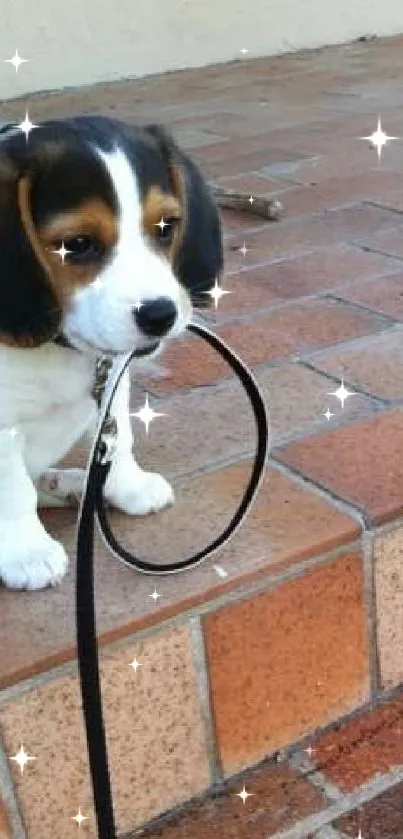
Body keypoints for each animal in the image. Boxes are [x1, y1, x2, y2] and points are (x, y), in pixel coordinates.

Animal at [0, 116, 223, 592]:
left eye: (166, 227)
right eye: (77, 244)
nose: (160, 314)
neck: (60, 345)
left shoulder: (112, 382)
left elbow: (119, 440)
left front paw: (127, 485)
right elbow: (12, 489)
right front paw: (26, 551)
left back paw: (67, 483)